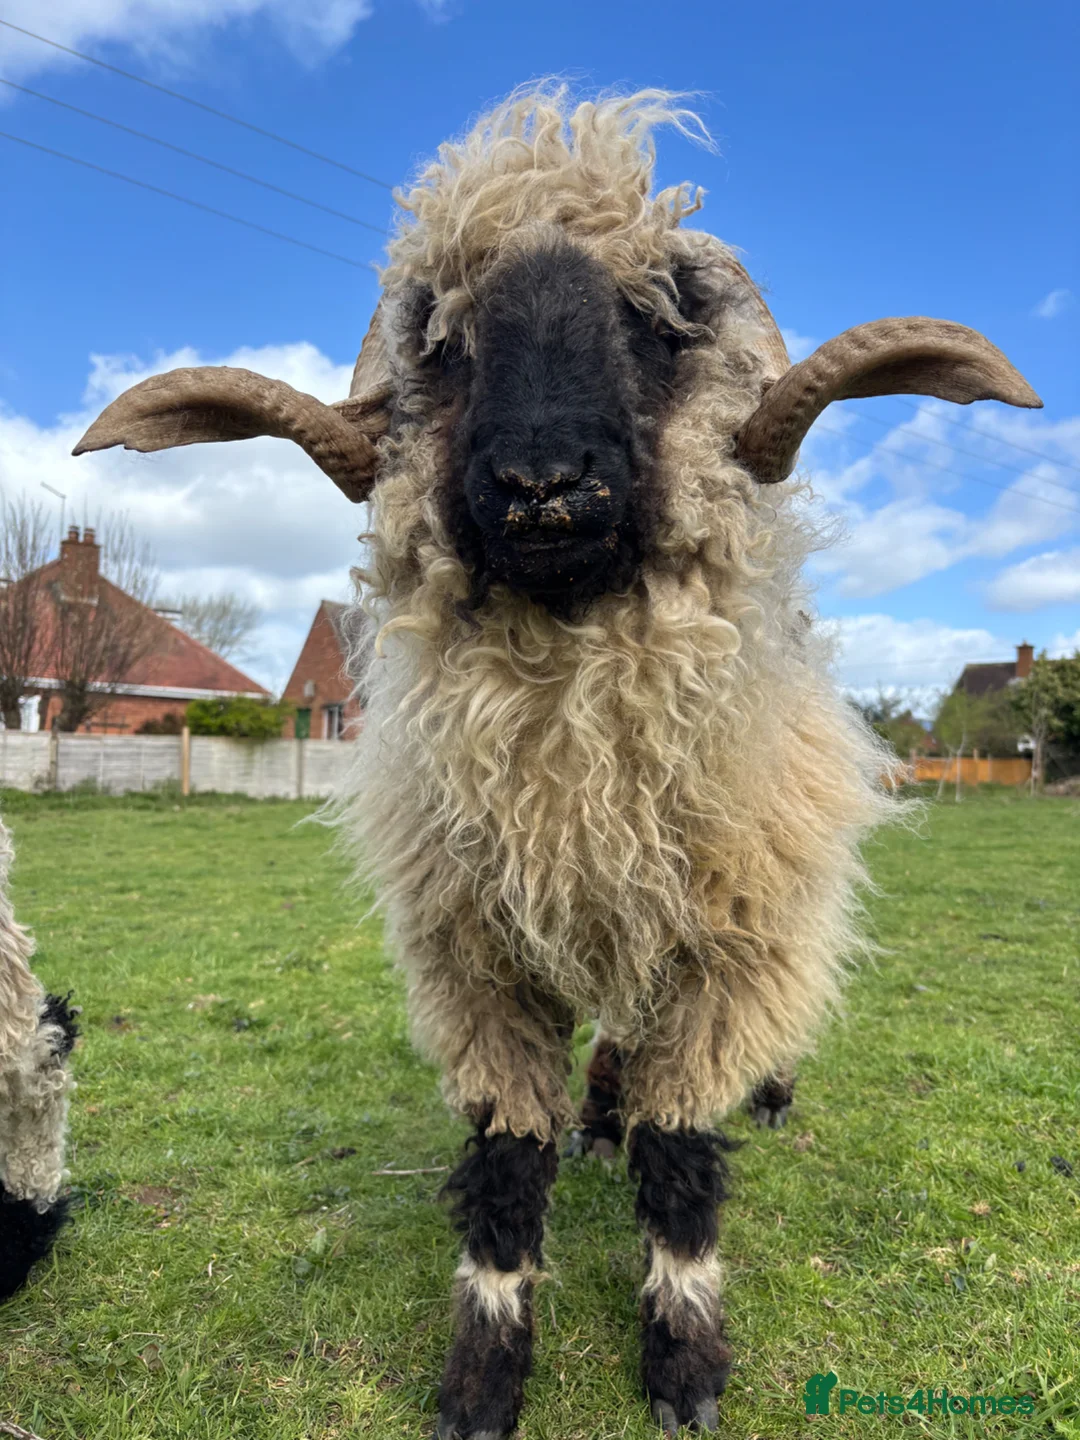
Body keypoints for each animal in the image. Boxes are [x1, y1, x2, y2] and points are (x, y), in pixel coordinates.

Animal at [74, 88, 1040, 1437]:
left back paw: (758, 1094)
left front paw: (684, 1362)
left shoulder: (727, 941)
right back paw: (600, 1112)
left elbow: (682, 1160)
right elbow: (503, 1166)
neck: (572, 754)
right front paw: (484, 1373)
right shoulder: (476, 959)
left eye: (661, 316)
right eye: (444, 333)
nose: (542, 484)